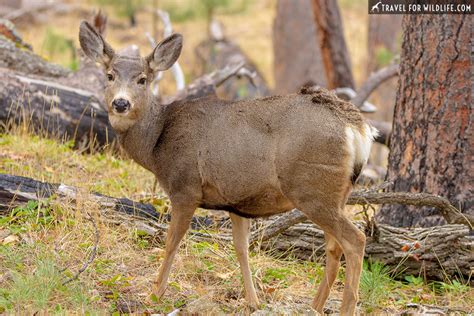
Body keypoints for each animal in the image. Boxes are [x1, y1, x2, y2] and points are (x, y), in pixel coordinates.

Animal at [79, 21, 378, 314]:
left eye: (143, 79)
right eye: (109, 75)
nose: (121, 103)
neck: (157, 142)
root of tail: (358, 128)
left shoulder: (185, 187)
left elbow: (172, 241)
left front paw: (154, 294)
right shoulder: (238, 203)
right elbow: (241, 248)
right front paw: (253, 301)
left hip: (312, 187)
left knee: (355, 239)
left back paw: (346, 307)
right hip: (334, 193)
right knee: (334, 247)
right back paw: (315, 306)